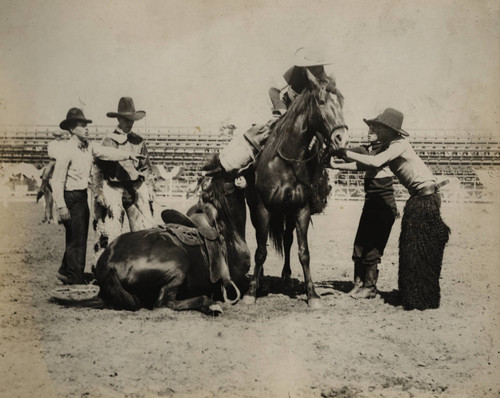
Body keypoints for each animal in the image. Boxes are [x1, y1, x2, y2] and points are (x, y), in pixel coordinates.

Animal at [242, 70, 348, 310]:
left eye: (341, 102)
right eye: (321, 101)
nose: (342, 139)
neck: (286, 162)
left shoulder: (301, 209)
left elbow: (303, 252)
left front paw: (312, 294)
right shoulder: (263, 209)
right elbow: (260, 251)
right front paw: (251, 292)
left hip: (288, 213)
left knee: (287, 239)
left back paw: (287, 277)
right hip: (256, 210)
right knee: (263, 241)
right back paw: (260, 280)